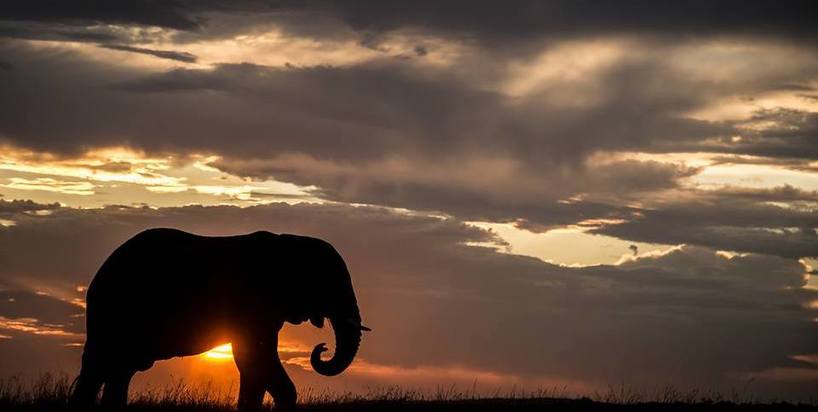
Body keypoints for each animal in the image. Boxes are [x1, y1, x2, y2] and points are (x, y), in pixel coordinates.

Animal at [70, 228, 370, 410]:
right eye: (329, 282)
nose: (322, 348)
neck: (288, 242)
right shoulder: (251, 305)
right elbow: (254, 356)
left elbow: (253, 362)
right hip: (112, 314)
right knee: (99, 366)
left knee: (119, 371)